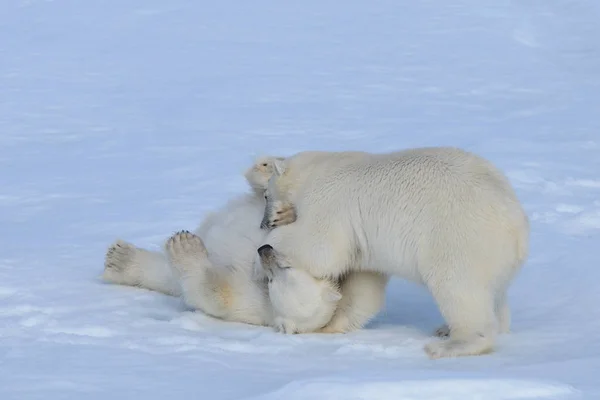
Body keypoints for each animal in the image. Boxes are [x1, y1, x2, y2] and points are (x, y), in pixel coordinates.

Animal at [102, 156, 342, 334]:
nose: (263, 249)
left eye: (276, 278)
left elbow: (215, 294)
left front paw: (184, 245)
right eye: (288, 264)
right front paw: (266, 171)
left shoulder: (251, 302)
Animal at [255, 148, 528, 360]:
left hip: (457, 237)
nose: (263, 223)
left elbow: (320, 246)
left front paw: (278, 227)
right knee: (494, 295)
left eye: (266, 195)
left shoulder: (328, 200)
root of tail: (516, 223)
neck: (316, 169)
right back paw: (451, 329)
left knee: (457, 287)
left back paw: (449, 344)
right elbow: (364, 282)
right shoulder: (364, 244)